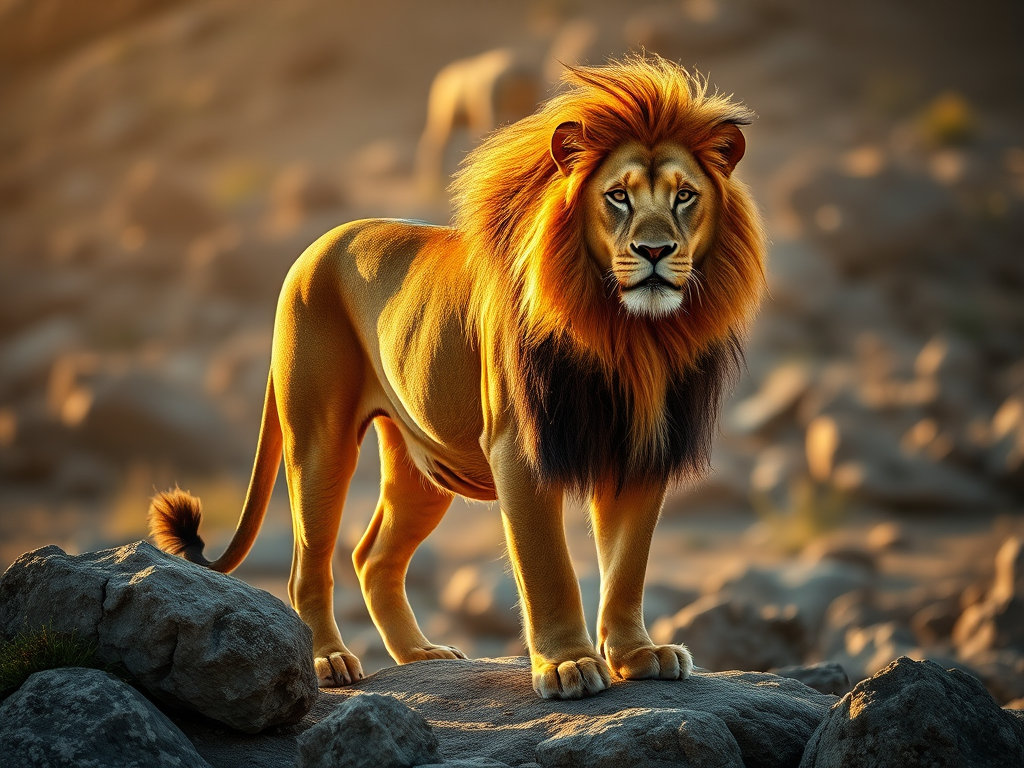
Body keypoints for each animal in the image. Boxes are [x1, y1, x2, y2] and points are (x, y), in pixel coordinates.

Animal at [149, 55, 766, 700]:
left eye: (685, 196)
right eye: (618, 196)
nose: (654, 251)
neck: (629, 335)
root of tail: (315, 246)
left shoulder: (643, 450)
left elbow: (628, 565)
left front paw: (639, 655)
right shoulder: (519, 448)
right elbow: (548, 567)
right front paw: (568, 664)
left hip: (421, 466)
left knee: (373, 556)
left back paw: (420, 654)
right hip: (319, 438)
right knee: (308, 563)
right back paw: (329, 661)